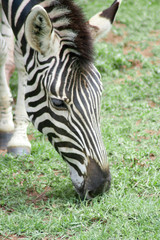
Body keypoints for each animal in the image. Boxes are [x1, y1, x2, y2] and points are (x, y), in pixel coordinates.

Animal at [0, 0, 121, 199]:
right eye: (58, 103)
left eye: (100, 94)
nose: (100, 187)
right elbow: (2, 50)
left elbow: (20, 58)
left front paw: (18, 136)